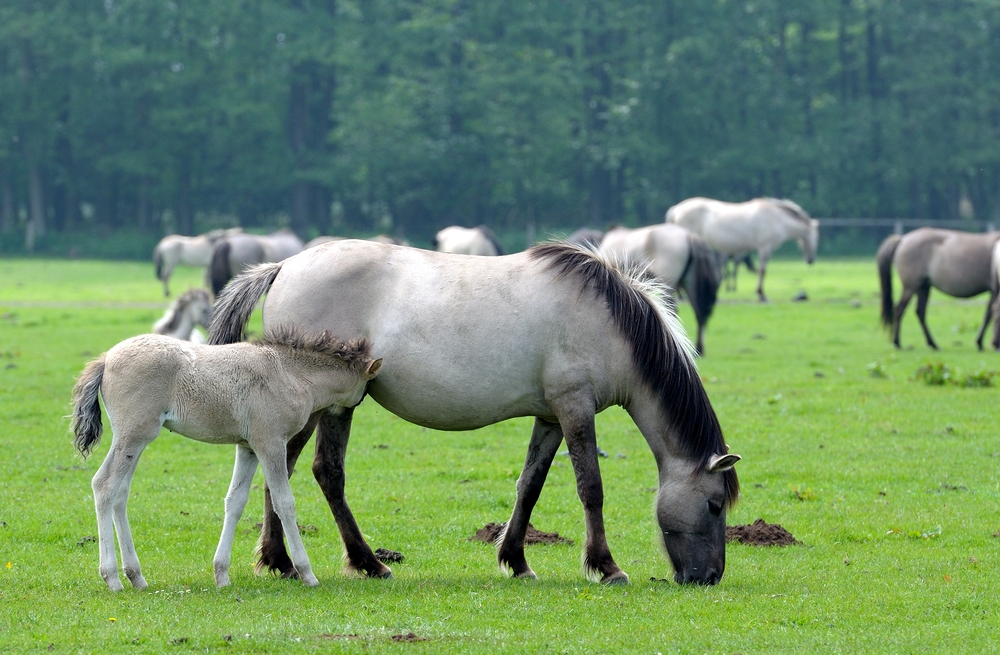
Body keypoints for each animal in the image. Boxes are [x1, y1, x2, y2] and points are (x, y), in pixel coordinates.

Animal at [70, 330, 382, 592]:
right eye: (365, 390)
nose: (347, 414)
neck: (290, 373)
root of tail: (106, 359)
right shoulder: (270, 444)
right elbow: (284, 502)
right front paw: (307, 573)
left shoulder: (247, 448)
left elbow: (236, 500)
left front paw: (221, 574)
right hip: (134, 435)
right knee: (104, 485)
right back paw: (112, 578)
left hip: (135, 440)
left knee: (120, 493)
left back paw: (136, 576)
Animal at [211, 240, 740, 584]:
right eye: (715, 505)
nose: (709, 577)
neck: (609, 323)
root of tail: (285, 266)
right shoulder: (575, 407)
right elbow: (590, 487)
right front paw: (606, 566)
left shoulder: (551, 417)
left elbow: (530, 485)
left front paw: (517, 560)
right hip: (326, 405)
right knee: (305, 470)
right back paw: (338, 562)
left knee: (305, 470)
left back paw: (301, 562)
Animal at [596, 226, 724, 358]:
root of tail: (689, 236)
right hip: (690, 284)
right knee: (699, 312)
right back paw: (698, 349)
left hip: (668, 286)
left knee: (672, 311)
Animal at [664, 199, 820, 304]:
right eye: (816, 236)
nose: (811, 260)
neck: (776, 218)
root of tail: (676, 209)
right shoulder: (764, 248)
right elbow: (762, 271)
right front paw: (761, 294)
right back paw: (681, 296)